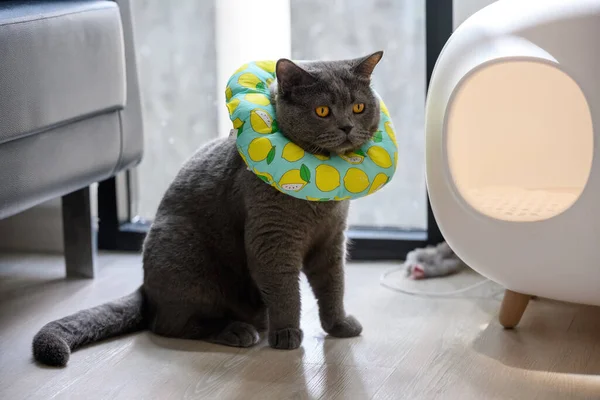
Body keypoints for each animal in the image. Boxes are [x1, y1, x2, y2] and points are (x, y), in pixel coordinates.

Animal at [31, 51, 384, 368]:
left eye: (359, 107)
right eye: (322, 110)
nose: (347, 127)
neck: (320, 201)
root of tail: (144, 289)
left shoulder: (332, 239)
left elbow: (333, 285)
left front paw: (340, 326)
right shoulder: (273, 240)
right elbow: (285, 290)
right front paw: (286, 334)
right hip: (187, 258)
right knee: (169, 323)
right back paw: (237, 331)